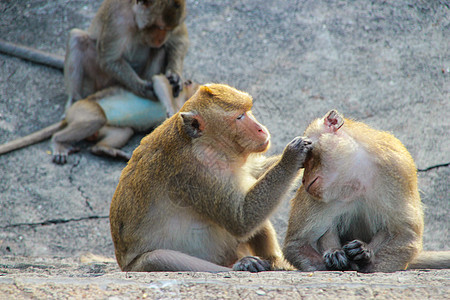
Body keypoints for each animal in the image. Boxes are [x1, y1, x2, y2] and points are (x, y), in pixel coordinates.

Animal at [0, 74, 197, 164]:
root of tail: (69, 113)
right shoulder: (178, 92)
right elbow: (159, 81)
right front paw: (172, 110)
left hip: (104, 127)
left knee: (123, 131)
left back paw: (103, 149)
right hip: (83, 109)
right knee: (96, 118)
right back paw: (58, 142)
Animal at [110, 83, 312, 274]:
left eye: (248, 111)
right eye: (239, 117)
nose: (261, 129)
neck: (208, 144)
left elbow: (254, 174)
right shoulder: (196, 172)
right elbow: (241, 219)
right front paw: (291, 157)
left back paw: (274, 261)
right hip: (137, 267)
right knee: (157, 258)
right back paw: (241, 265)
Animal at [284, 109, 450, 272]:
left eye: (308, 155)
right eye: (302, 163)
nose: (304, 180)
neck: (355, 173)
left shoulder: (397, 167)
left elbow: (406, 234)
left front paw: (366, 258)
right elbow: (297, 244)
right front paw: (333, 258)